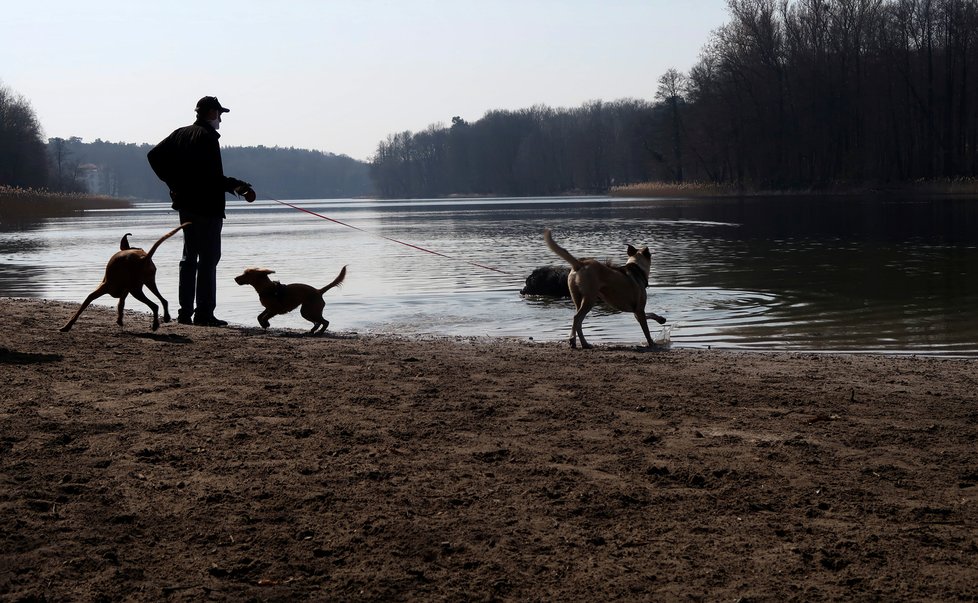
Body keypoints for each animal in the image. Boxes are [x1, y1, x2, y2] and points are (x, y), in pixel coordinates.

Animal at [59, 223, 191, 332]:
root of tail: (144, 258)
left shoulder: (104, 288)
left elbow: (84, 304)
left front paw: (67, 326)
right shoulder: (125, 291)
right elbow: (120, 304)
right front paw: (119, 320)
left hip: (136, 290)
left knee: (155, 305)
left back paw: (155, 325)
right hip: (149, 282)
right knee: (164, 300)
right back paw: (166, 317)